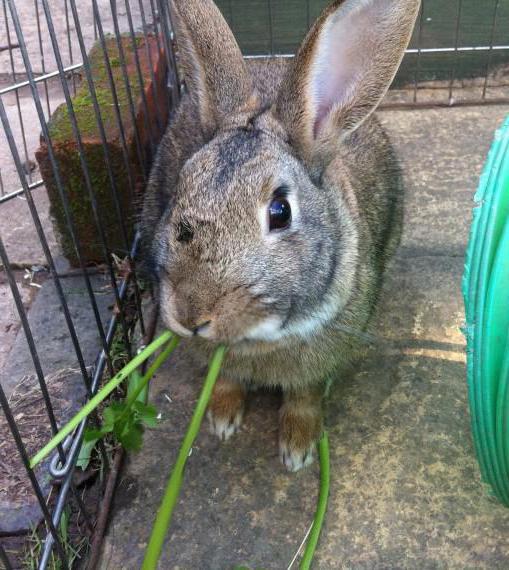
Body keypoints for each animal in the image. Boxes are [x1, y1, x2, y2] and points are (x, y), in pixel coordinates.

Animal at [141, 0, 418, 470]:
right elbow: (225, 378)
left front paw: (297, 449)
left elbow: (304, 397)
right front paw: (221, 420)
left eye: (280, 211)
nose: (190, 316)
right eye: (181, 184)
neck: (259, 339)